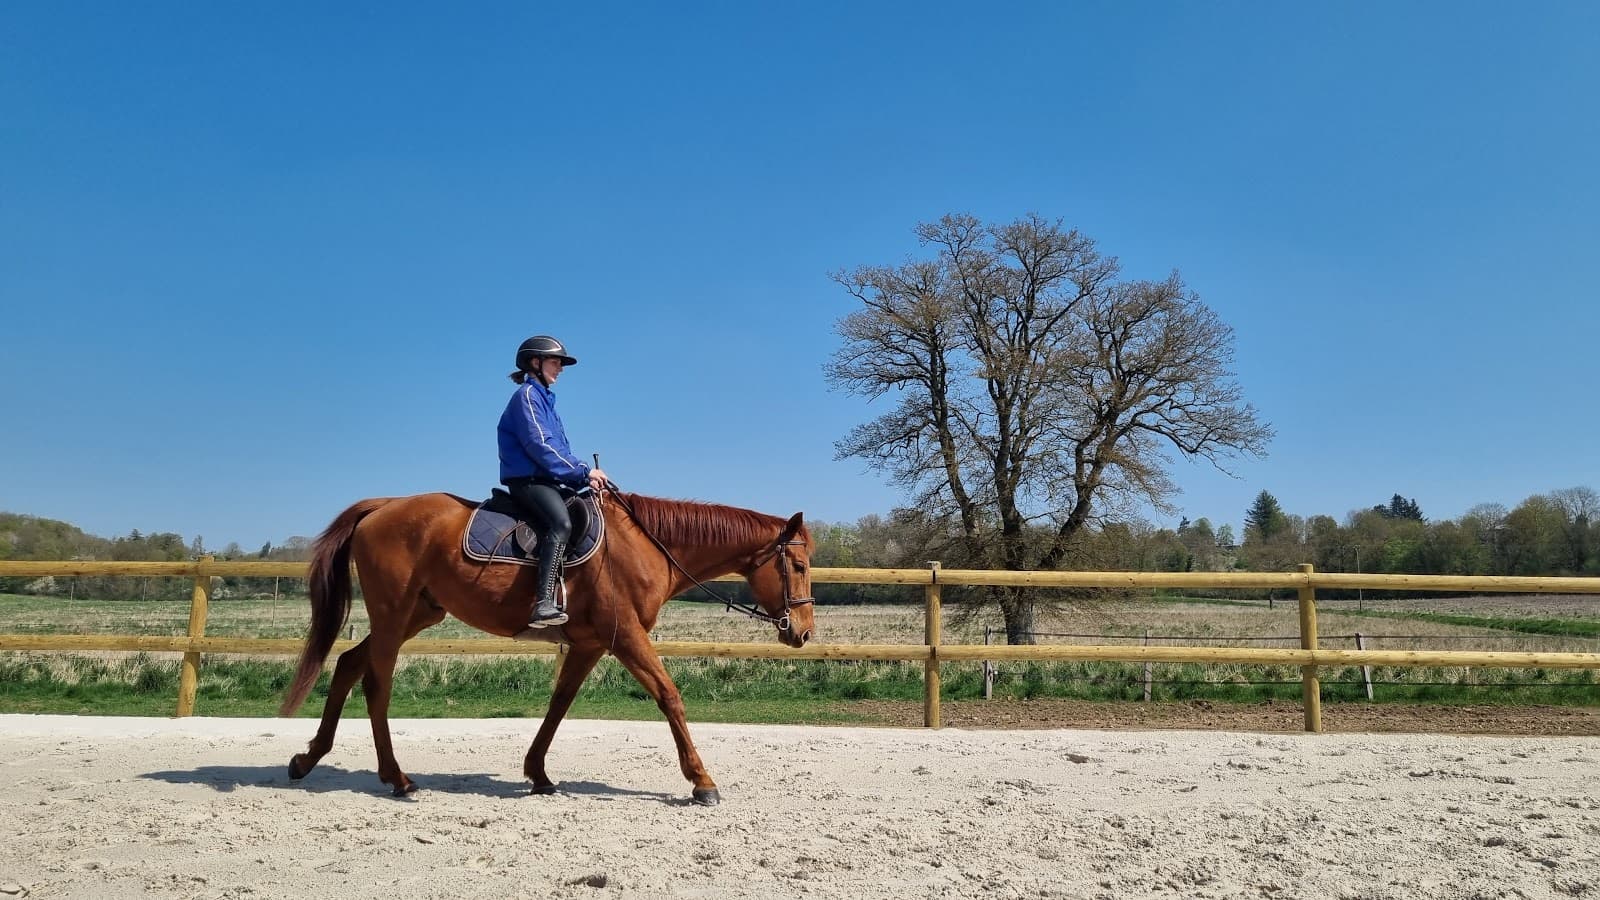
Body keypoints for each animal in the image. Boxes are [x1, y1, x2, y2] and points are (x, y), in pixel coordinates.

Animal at [278, 490, 815, 805]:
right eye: (800, 566)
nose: (804, 632)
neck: (646, 545)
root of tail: (383, 506)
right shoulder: (626, 637)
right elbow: (669, 696)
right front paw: (702, 781)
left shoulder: (591, 644)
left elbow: (559, 705)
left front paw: (537, 773)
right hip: (394, 615)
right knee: (377, 684)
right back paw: (398, 778)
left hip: (418, 614)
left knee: (349, 663)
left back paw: (307, 759)